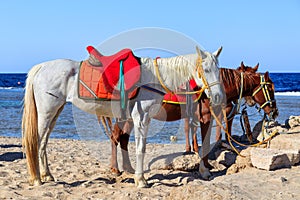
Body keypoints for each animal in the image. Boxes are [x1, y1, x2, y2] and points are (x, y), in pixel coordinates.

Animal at [22, 45, 223, 188]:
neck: (153, 79)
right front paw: (141, 180)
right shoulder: (141, 118)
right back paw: (37, 179)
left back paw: (47, 175)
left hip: (55, 112)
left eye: (218, 69)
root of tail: (41, 67)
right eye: (205, 69)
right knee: (36, 141)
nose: (218, 97)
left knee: (43, 143)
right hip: (46, 112)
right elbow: (140, 148)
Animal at [103, 63, 278, 176]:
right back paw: (115, 169)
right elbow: (205, 143)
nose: (275, 112)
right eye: (270, 88)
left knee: (123, 139)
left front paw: (206, 165)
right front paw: (205, 169)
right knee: (116, 137)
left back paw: (128, 168)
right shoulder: (206, 118)